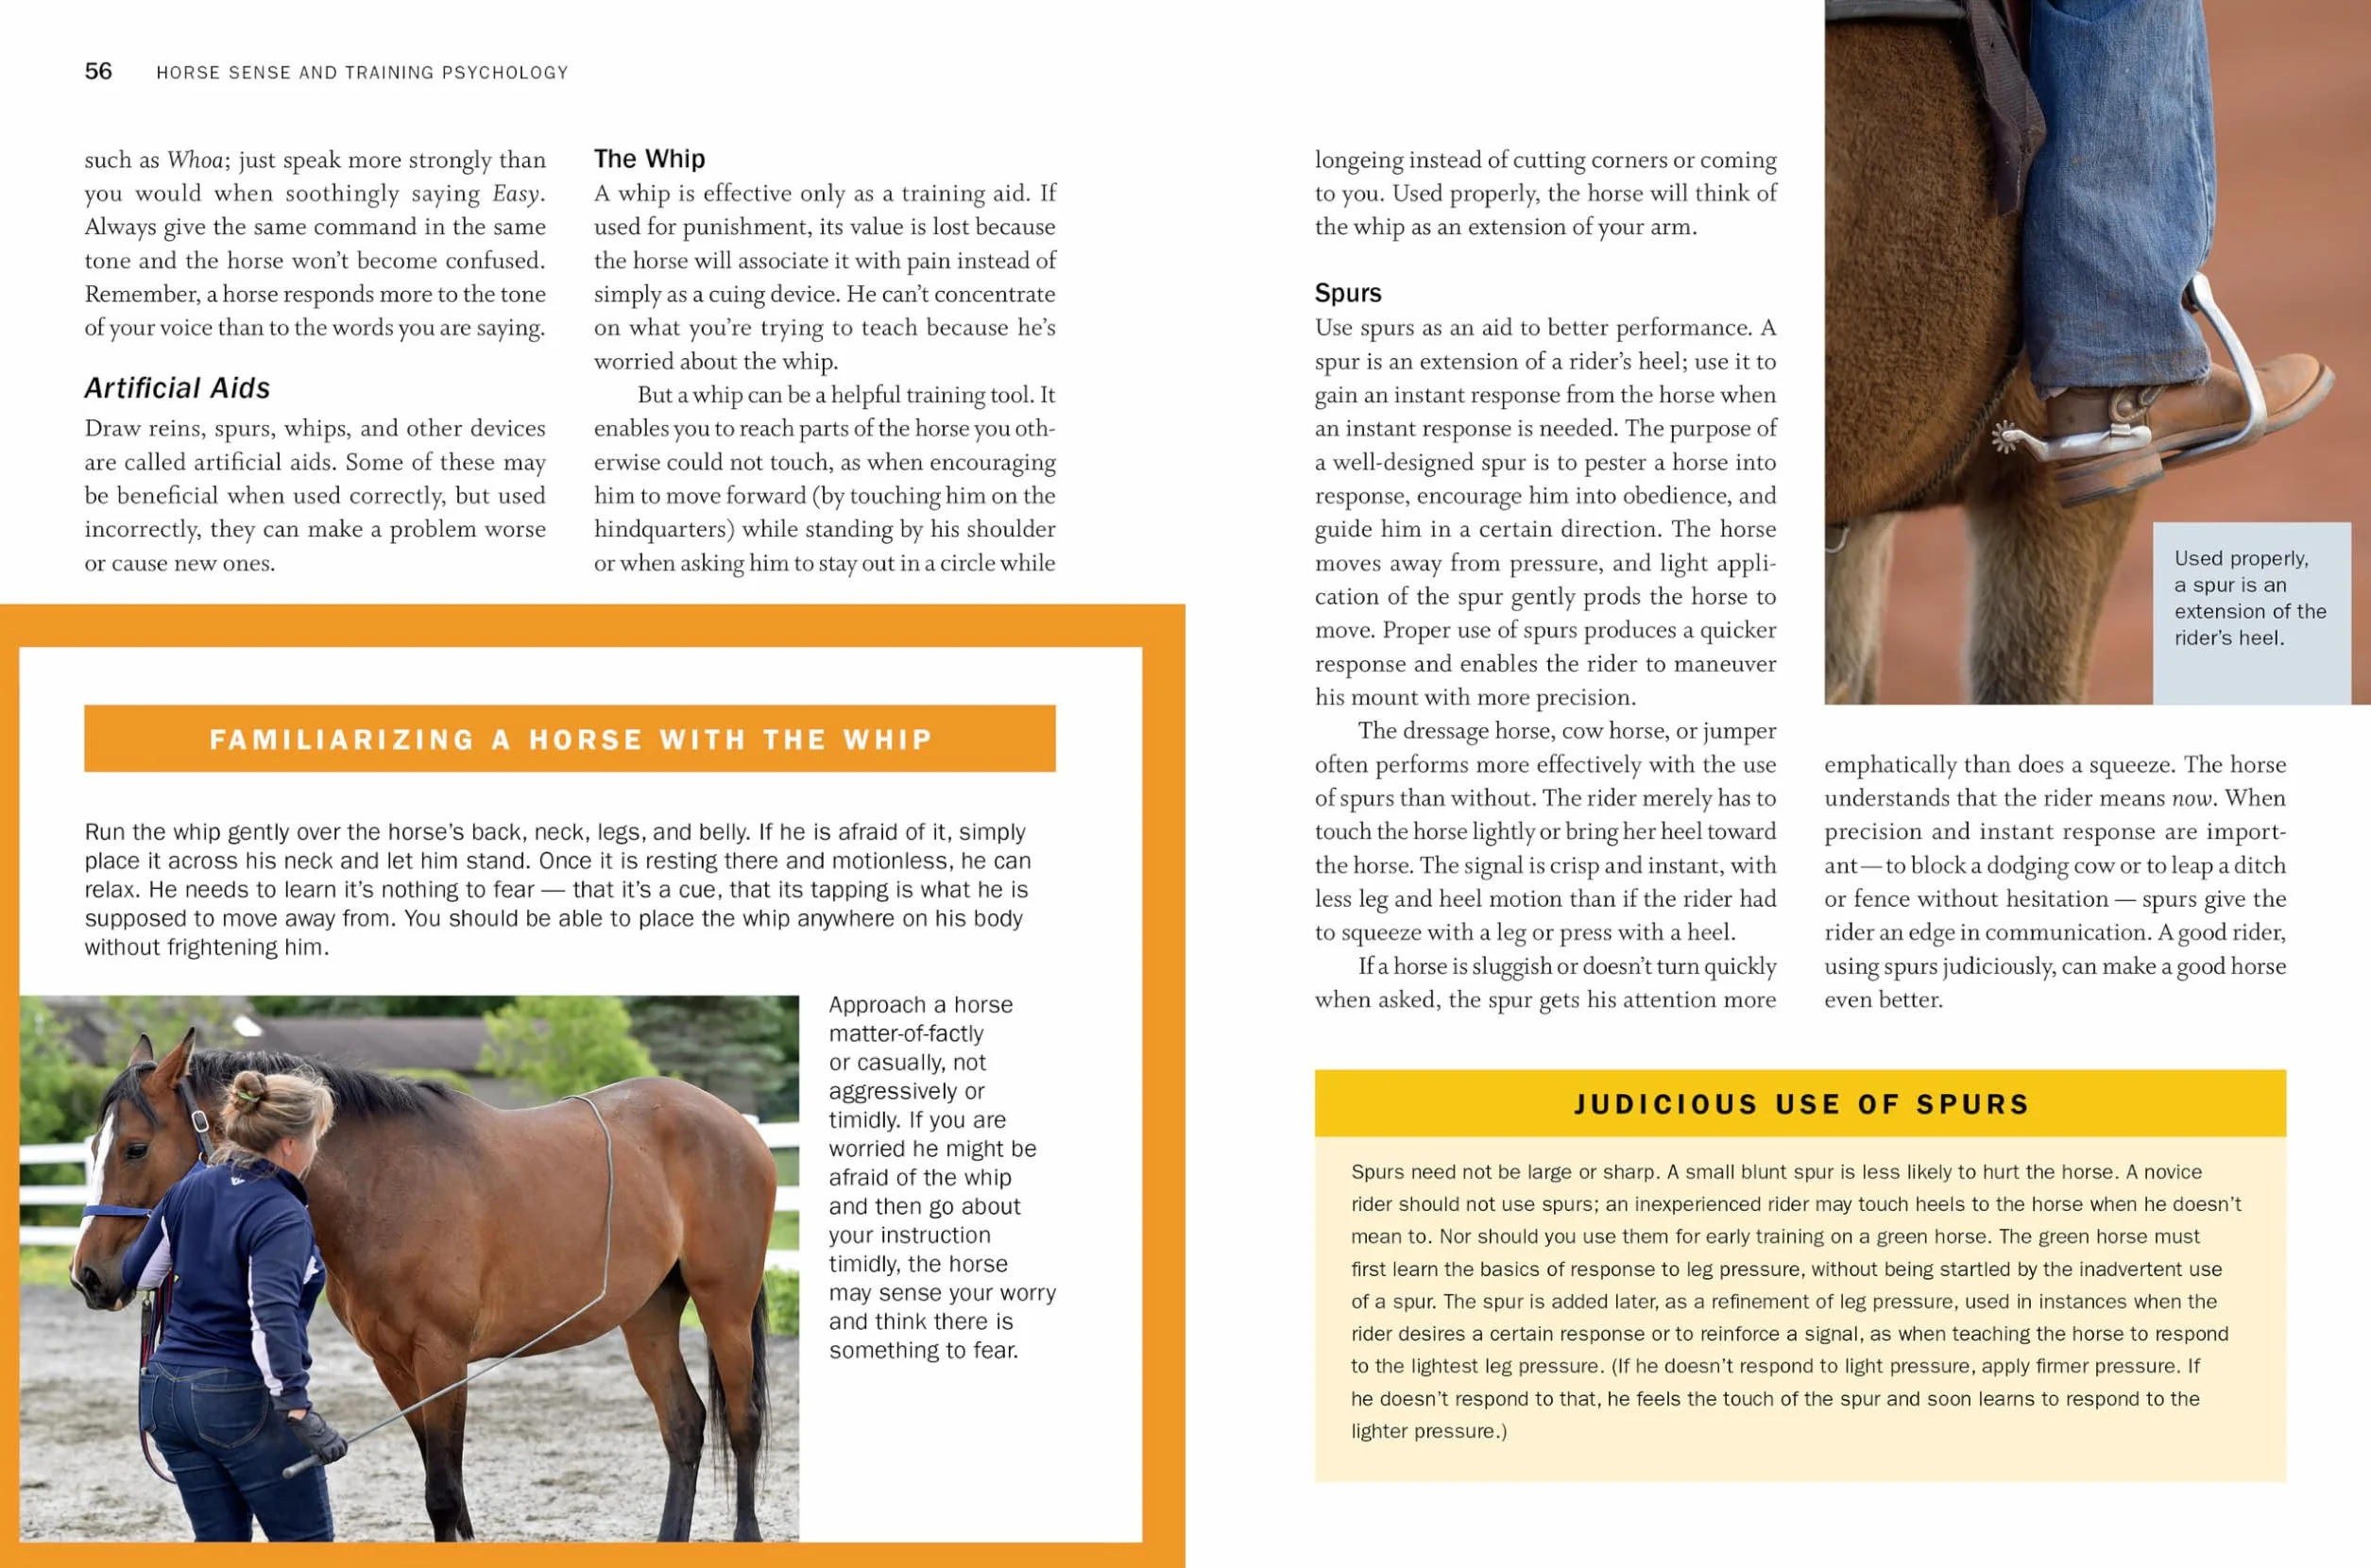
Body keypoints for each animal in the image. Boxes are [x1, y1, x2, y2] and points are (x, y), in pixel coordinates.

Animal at [68, 1030, 779, 1543]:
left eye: (134, 1148)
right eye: (92, 1149)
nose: (90, 1277)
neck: (387, 1187)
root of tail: (732, 1121)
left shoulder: (442, 1358)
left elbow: (442, 1492)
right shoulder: (395, 1365)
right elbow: (449, 1491)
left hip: (724, 1304)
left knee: (743, 1425)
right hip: (648, 1312)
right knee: (684, 1424)